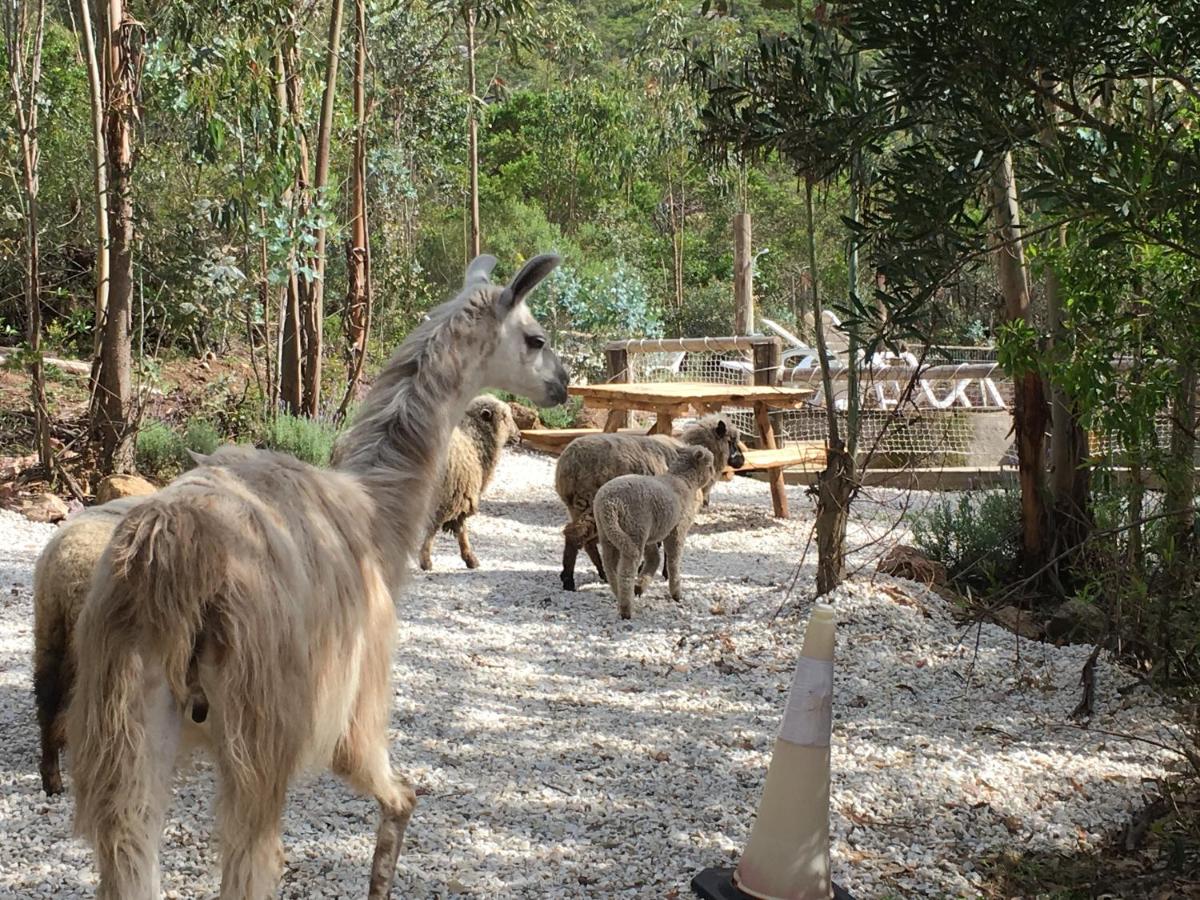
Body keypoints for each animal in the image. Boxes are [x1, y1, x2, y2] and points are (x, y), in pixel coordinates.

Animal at [420, 393, 518, 571]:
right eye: (504, 417)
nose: (519, 436)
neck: (472, 439)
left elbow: (460, 529)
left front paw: (470, 558)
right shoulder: (454, 496)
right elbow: (445, 528)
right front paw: (426, 560)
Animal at [556, 415, 744, 592]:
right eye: (731, 441)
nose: (741, 461)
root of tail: (569, 465)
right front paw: (664, 573)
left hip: (578, 507)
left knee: (585, 541)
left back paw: (600, 573)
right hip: (596, 505)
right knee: (576, 535)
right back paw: (569, 580)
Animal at [590, 446, 710, 619]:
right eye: (709, 465)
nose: (712, 475)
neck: (683, 479)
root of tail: (609, 502)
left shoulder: (651, 535)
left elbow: (654, 558)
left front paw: (640, 586)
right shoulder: (677, 530)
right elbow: (673, 560)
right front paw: (676, 594)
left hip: (609, 533)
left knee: (610, 564)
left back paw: (618, 594)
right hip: (634, 530)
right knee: (626, 570)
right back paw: (626, 609)